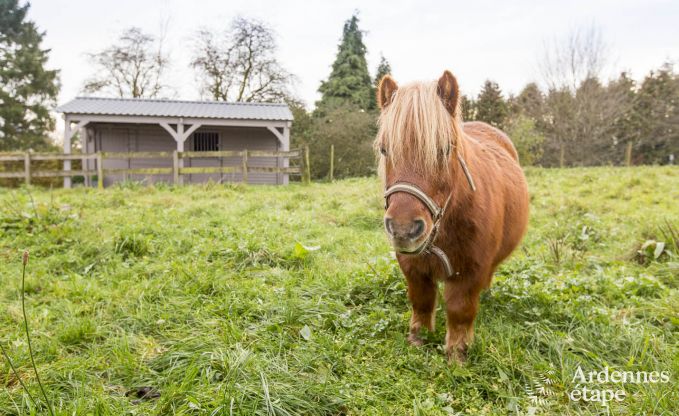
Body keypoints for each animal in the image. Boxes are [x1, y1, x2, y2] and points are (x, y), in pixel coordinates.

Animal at [378, 70, 532, 362]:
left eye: (445, 149)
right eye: (384, 149)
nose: (403, 229)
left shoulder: (471, 271)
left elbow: (461, 310)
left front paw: (457, 354)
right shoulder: (412, 267)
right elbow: (421, 301)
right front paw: (418, 340)